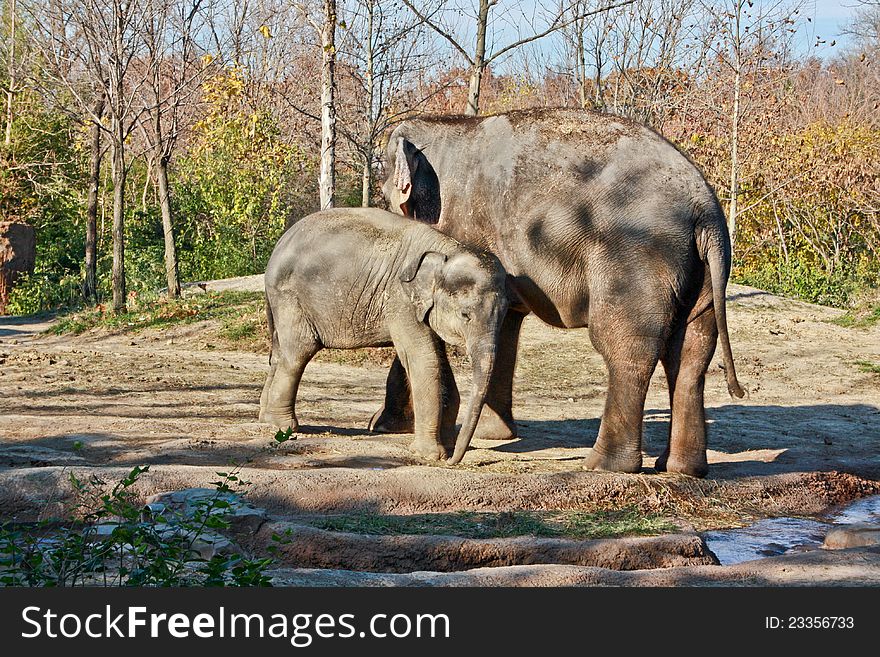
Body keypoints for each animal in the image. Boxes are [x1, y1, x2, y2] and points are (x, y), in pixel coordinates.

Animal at [258, 208, 508, 464]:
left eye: (505, 313)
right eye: (465, 315)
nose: (453, 460)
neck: (447, 249)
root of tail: (278, 247)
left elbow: (438, 359)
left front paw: (446, 444)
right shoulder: (401, 299)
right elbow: (424, 359)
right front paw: (431, 455)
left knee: (279, 354)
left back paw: (265, 417)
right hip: (290, 297)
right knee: (298, 352)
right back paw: (283, 426)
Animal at [368, 109, 744, 476]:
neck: (447, 124)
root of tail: (706, 210)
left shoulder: (461, 230)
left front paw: (383, 426)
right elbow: (504, 328)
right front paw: (494, 434)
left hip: (635, 260)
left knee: (626, 348)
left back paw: (603, 465)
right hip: (701, 273)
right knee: (691, 354)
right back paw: (681, 469)